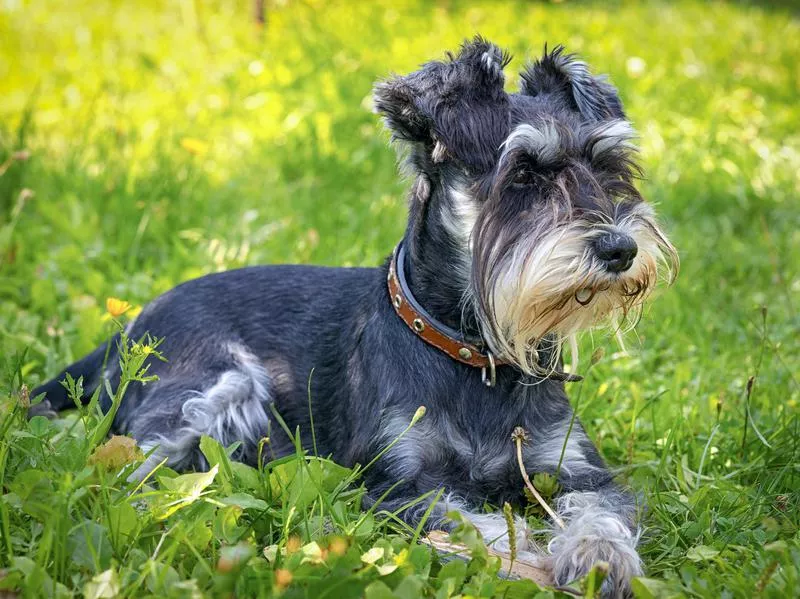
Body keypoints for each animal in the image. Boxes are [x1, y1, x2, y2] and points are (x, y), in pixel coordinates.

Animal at [36, 39, 676, 596]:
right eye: (523, 173)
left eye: (609, 166)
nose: (620, 249)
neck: (473, 352)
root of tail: (130, 327)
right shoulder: (393, 483)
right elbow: (476, 523)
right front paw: (531, 562)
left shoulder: (575, 469)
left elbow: (599, 511)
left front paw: (600, 558)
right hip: (217, 388)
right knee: (133, 472)